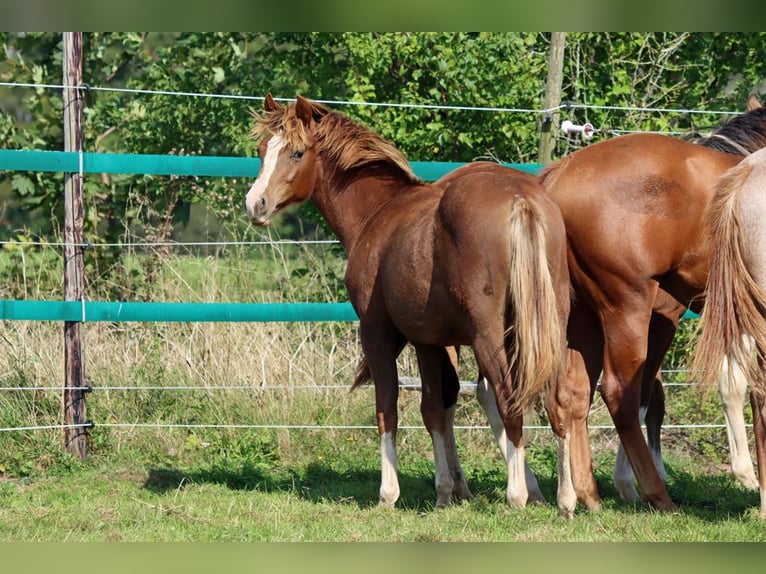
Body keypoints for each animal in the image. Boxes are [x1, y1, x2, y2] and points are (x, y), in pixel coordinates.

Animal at [244, 94, 576, 516]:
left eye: (296, 152)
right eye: (261, 151)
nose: (256, 204)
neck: (379, 211)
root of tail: (522, 201)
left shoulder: (379, 334)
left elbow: (389, 407)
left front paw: (391, 493)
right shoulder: (433, 341)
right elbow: (438, 408)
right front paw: (449, 491)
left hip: (491, 337)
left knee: (508, 399)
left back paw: (516, 495)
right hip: (549, 328)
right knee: (559, 399)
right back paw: (566, 499)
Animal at [540, 93, 766, 512]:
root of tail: (560, 176)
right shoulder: (667, 318)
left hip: (583, 316)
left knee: (572, 393)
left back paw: (581, 495)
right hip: (626, 308)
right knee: (621, 394)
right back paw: (656, 494)